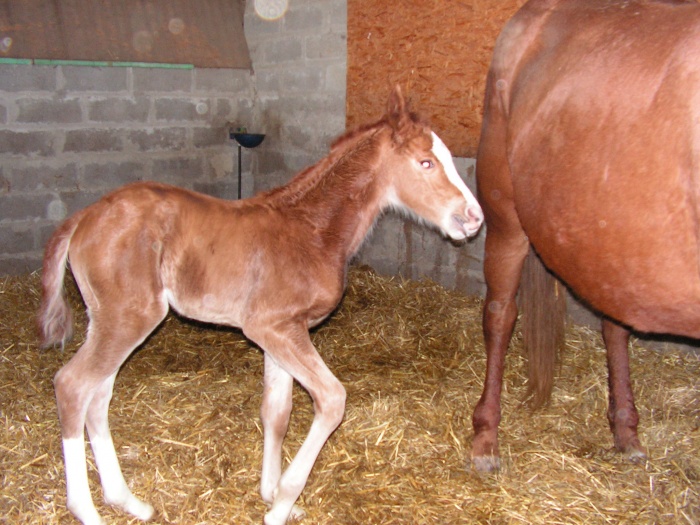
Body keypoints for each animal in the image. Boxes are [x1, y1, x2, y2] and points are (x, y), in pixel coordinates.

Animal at [38, 87, 484, 524]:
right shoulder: (273, 329)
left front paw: (270, 494)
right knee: (73, 386)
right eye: (426, 162)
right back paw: (88, 511)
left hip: (108, 321)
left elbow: (277, 411)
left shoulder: (281, 333)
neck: (310, 230)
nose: (474, 217)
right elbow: (331, 401)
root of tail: (82, 217)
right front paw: (282, 502)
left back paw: (127, 501)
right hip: (129, 318)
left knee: (98, 397)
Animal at [470, 0, 700, 470]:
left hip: (608, 245)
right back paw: (485, 439)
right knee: (500, 315)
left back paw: (626, 431)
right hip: (507, 221)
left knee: (615, 326)